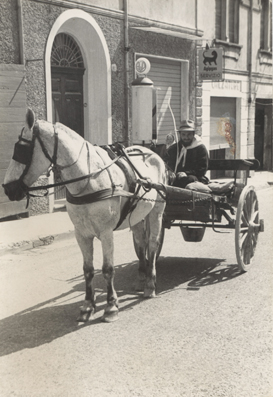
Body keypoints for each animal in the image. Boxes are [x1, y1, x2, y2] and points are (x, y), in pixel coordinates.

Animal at [3, 109, 167, 322]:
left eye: (22, 149)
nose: (8, 189)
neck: (90, 179)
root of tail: (152, 153)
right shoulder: (81, 233)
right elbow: (88, 270)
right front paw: (88, 305)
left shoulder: (106, 232)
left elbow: (107, 269)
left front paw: (111, 305)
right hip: (137, 215)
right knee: (141, 243)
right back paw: (141, 277)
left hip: (157, 212)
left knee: (153, 245)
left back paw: (150, 283)